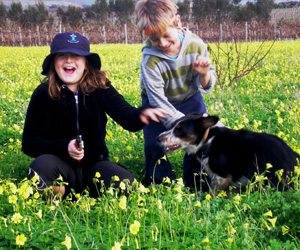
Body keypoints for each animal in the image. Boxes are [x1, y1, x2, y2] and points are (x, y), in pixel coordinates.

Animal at [158, 112, 298, 192]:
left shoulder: (222, 176)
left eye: (179, 130)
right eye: (172, 126)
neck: (208, 140)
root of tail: (293, 155)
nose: (158, 138)